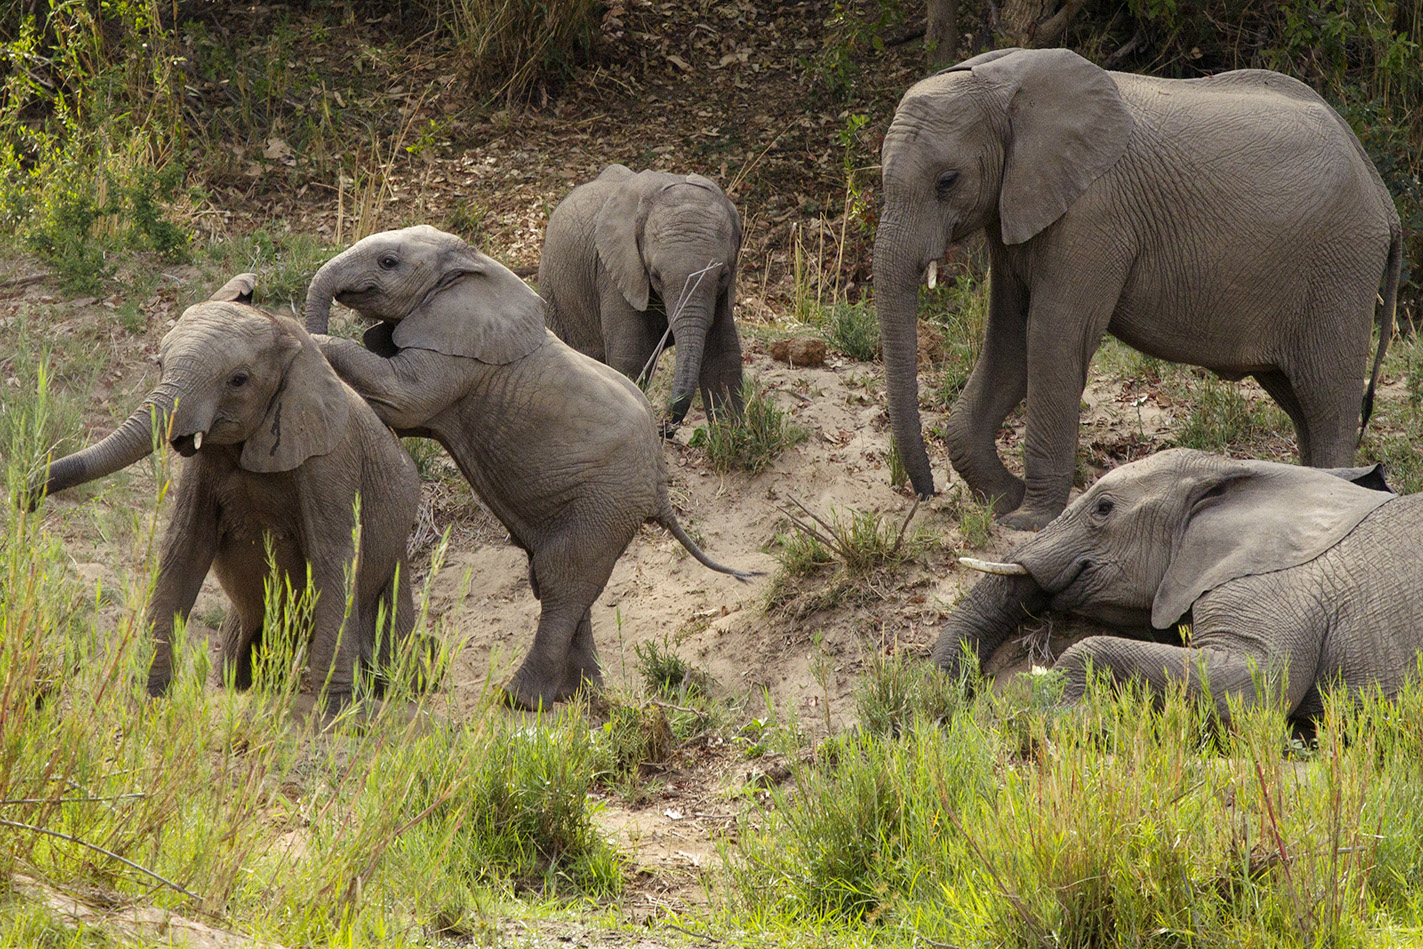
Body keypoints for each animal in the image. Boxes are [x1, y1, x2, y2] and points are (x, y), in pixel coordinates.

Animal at [26, 274, 415, 705]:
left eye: (238, 380)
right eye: (159, 364)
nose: (28, 494)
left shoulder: (331, 464)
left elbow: (335, 563)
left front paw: (337, 709)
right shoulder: (203, 466)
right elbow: (184, 549)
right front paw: (150, 698)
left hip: (397, 559)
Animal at [307, 226, 762, 708]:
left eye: (388, 262)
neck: (471, 265)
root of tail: (661, 487)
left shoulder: (459, 358)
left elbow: (401, 399)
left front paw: (308, 341)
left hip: (608, 499)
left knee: (559, 578)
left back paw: (519, 699)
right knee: (564, 581)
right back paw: (579, 695)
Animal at [537, 165, 751, 423]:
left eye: (723, 275)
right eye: (656, 276)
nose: (666, 424)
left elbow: (722, 358)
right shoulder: (617, 273)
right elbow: (631, 358)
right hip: (551, 285)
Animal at [876, 48, 1400, 532]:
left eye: (947, 181)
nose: (925, 495)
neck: (1004, 83)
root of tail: (1382, 194)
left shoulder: (1095, 214)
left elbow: (1052, 336)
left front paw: (1027, 522)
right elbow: (1009, 339)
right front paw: (1006, 502)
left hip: (1341, 266)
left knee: (1326, 397)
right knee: (1300, 401)